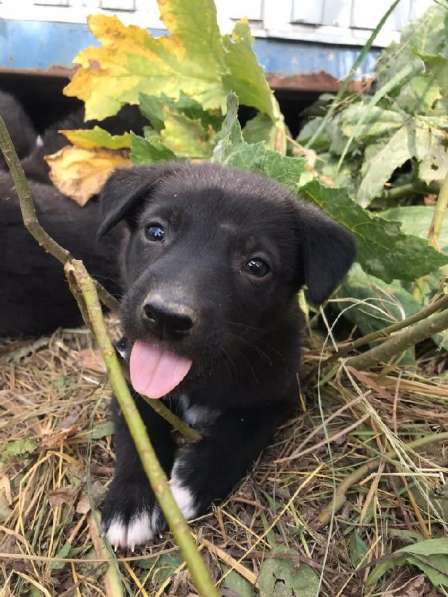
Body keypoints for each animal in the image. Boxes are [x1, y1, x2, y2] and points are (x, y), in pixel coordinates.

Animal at [99, 161, 356, 548]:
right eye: (156, 231)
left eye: (256, 266)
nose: (167, 317)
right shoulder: (128, 374)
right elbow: (138, 428)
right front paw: (131, 502)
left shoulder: (278, 392)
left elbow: (240, 430)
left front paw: (193, 482)